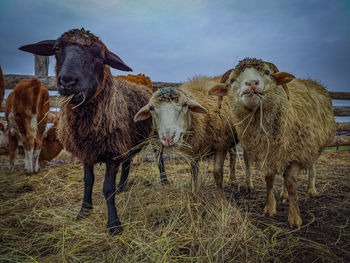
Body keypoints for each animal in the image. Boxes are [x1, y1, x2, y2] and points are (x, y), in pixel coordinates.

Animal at [19, 27, 170, 236]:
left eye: (100, 57)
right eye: (56, 49)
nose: (67, 82)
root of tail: (145, 86)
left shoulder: (112, 152)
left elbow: (106, 188)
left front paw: (114, 224)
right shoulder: (87, 152)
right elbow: (88, 181)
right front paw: (84, 211)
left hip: (153, 135)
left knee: (158, 156)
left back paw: (164, 181)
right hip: (128, 140)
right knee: (128, 162)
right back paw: (122, 187)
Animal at [209, 57, 334, 229]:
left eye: (267, 72)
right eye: (232, 80)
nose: (252, 83)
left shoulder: (296, 152)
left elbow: (291, 182)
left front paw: (294, 218)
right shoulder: (267, 153)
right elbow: (269, 179)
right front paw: (269, 207)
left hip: (312, 145)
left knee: (311, 166)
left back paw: (311, 189)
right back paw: (283, 194)